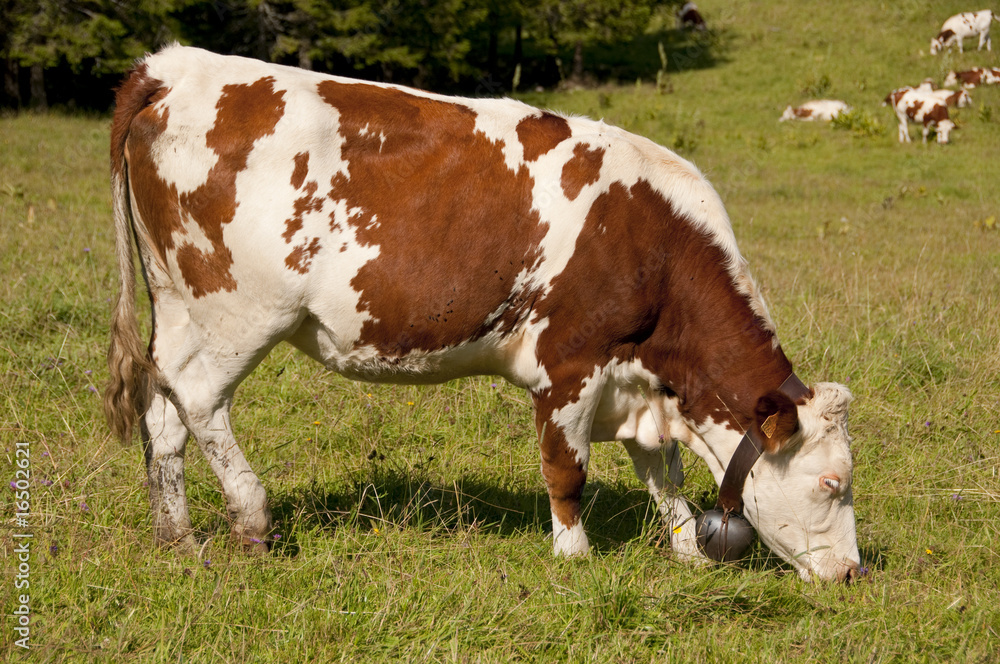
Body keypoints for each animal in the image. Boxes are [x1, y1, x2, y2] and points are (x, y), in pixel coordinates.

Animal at [105, 42, 864, 580]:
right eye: (833, 482)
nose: (853, 574)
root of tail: (173, 66)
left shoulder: (638, 379)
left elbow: (663, 473)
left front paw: (685, 551)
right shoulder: (570, 364)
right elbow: (567, 467)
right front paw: (574, 556)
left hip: (178, 305)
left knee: (162, 405)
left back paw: (177, 537)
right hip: (238, 313)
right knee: (199, 399)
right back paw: (251, 517)